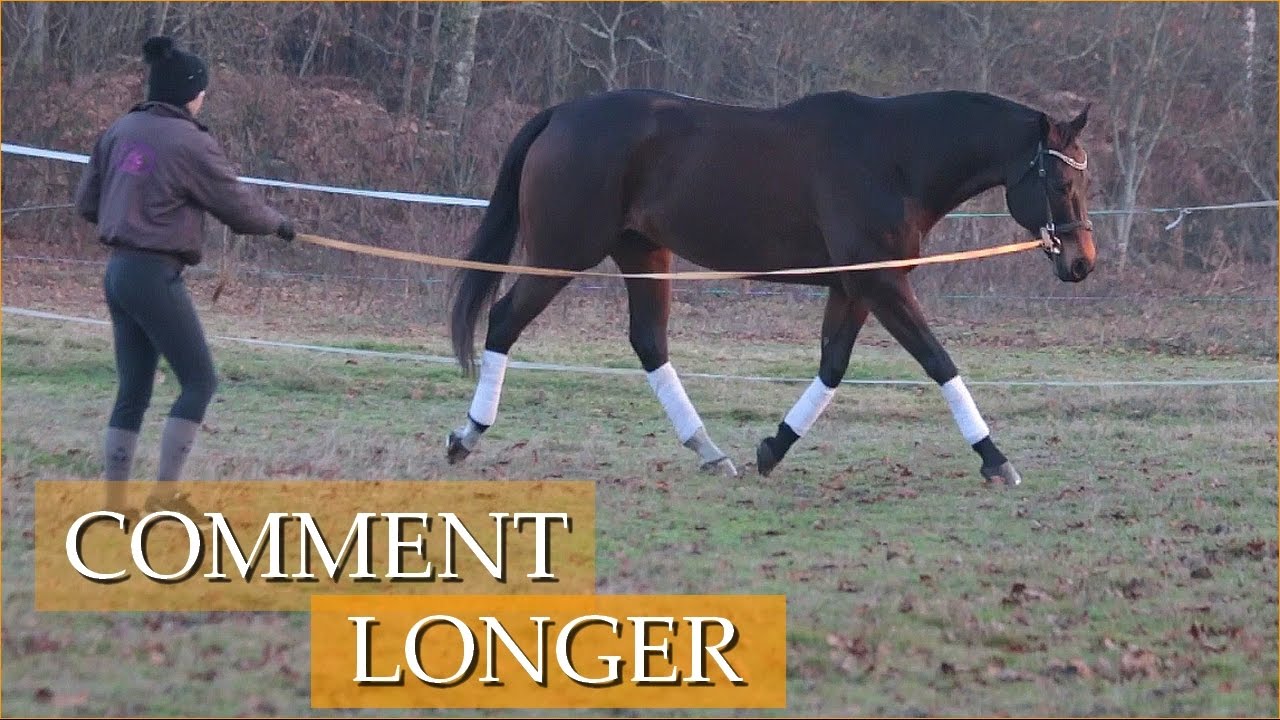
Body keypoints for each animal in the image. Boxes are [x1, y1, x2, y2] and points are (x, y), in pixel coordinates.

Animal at [444, 88, 1095, 486]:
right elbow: (939, 361)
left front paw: (772, 447)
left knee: (649, 343)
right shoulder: (881, 284)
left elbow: (832, 366)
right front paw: (995, 459)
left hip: (643, 254)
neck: (894, 158)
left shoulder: (854, 288)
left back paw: (709, 450)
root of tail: (562, 112)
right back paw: (467, 435)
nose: (1082, 263)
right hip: (562, 253)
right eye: (1060, 182)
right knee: (503, 322)